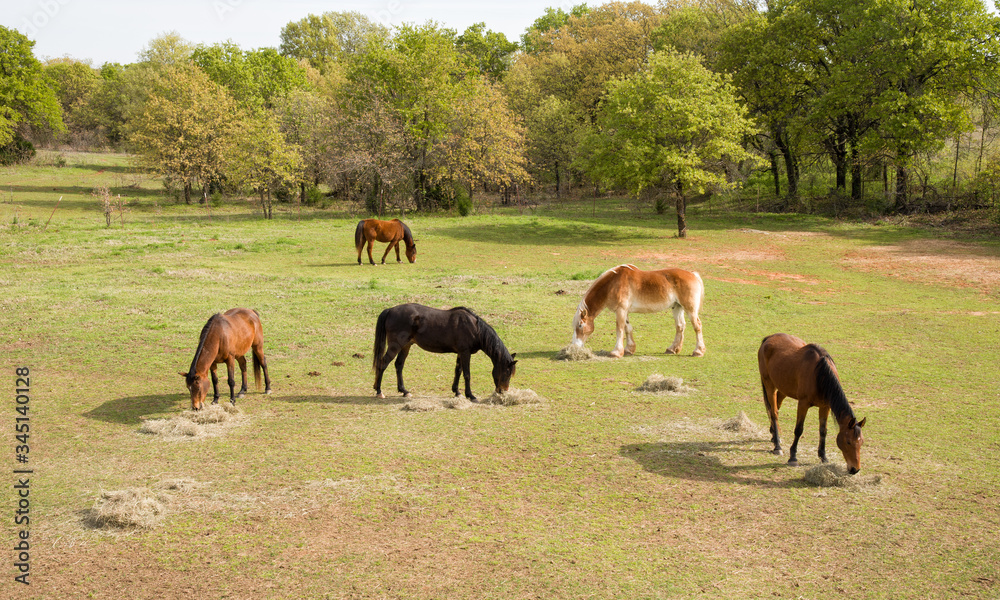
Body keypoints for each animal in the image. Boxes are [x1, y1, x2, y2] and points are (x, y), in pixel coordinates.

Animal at [372, 303, 517, 401]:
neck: (474, 328)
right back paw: (379, 391)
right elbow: (467, 374)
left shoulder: (460, 353)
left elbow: (458, 371)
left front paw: (457, 392)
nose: (503, 391)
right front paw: (470, 395)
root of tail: (390, 310)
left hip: (406, 346)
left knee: (399, 365)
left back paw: (404, 391)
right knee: (383, 363)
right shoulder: (465, 352)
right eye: (507, 372)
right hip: (395, 346)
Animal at [570, 264, 705, 358]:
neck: (613, 284)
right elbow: (627, 328)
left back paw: (698, 351)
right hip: (677, 307)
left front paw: (616, 352)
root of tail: (693, 274)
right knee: (680, 326)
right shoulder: (624, 311)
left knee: (697, 326)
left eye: (580, 325)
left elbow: (619, 329)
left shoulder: (621, 310)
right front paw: (628, 349)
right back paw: (672, 349)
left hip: (690, 309)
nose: (574, 346)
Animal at [757, 333, 866, 473]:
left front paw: (823, 456)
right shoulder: (803, 404)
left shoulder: (825, 407)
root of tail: (769, 338)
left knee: (775, 407)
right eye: (848, 442)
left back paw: (773, 435)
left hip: (783, 388)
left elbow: (823, 431)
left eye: (861, 442)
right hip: (769, 385)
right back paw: (777, 445)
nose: (855, 469)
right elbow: (799, 429)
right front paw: (793, 457)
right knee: (774, 413)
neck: (819, 375)